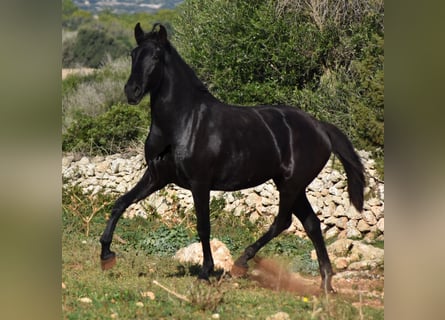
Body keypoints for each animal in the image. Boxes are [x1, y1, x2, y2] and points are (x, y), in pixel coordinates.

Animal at [100, 23, 364, 292]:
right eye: (133, 54)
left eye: (155, 56)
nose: (131, 91)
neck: (182, 122)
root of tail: (320, 127)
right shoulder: (156, 177)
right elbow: (120, 203)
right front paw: (106, 255)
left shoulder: (200, 183)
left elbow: (203, 227)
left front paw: (205, 272)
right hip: (291, 185)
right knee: (311, 224)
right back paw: (325, 284)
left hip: (291, 185)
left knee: (284, 221)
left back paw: (242, 262)